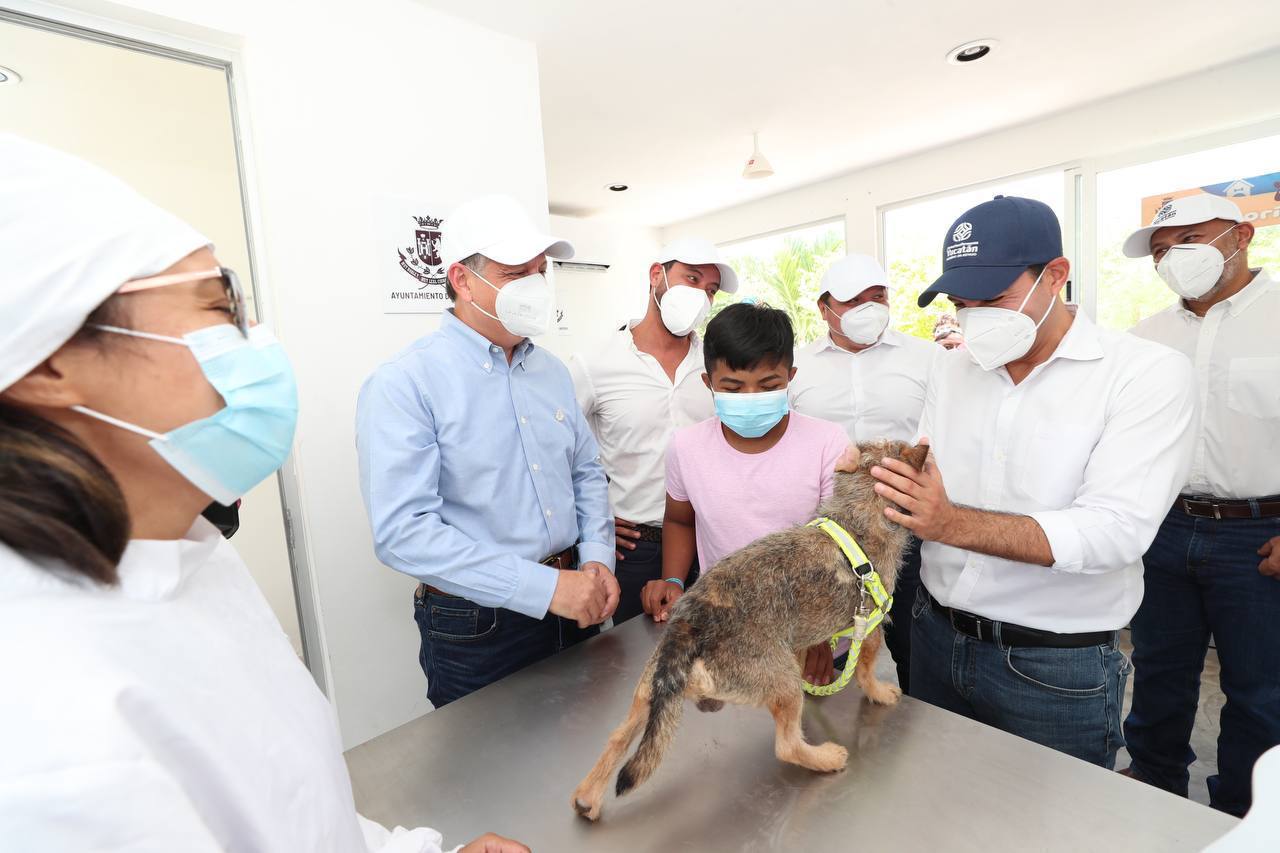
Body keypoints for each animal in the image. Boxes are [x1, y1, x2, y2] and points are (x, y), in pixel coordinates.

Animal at [573, 438, 931, 819]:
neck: (855, 515)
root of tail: (691, 621)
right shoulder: (872, 623)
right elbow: (864, 668)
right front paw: (880, 692)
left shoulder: (799, 638)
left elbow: (809, 653)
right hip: (781, 681)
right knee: (787, 745)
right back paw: (826, 757)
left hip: (647, 690)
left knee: (618, 736)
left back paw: (588, 797)